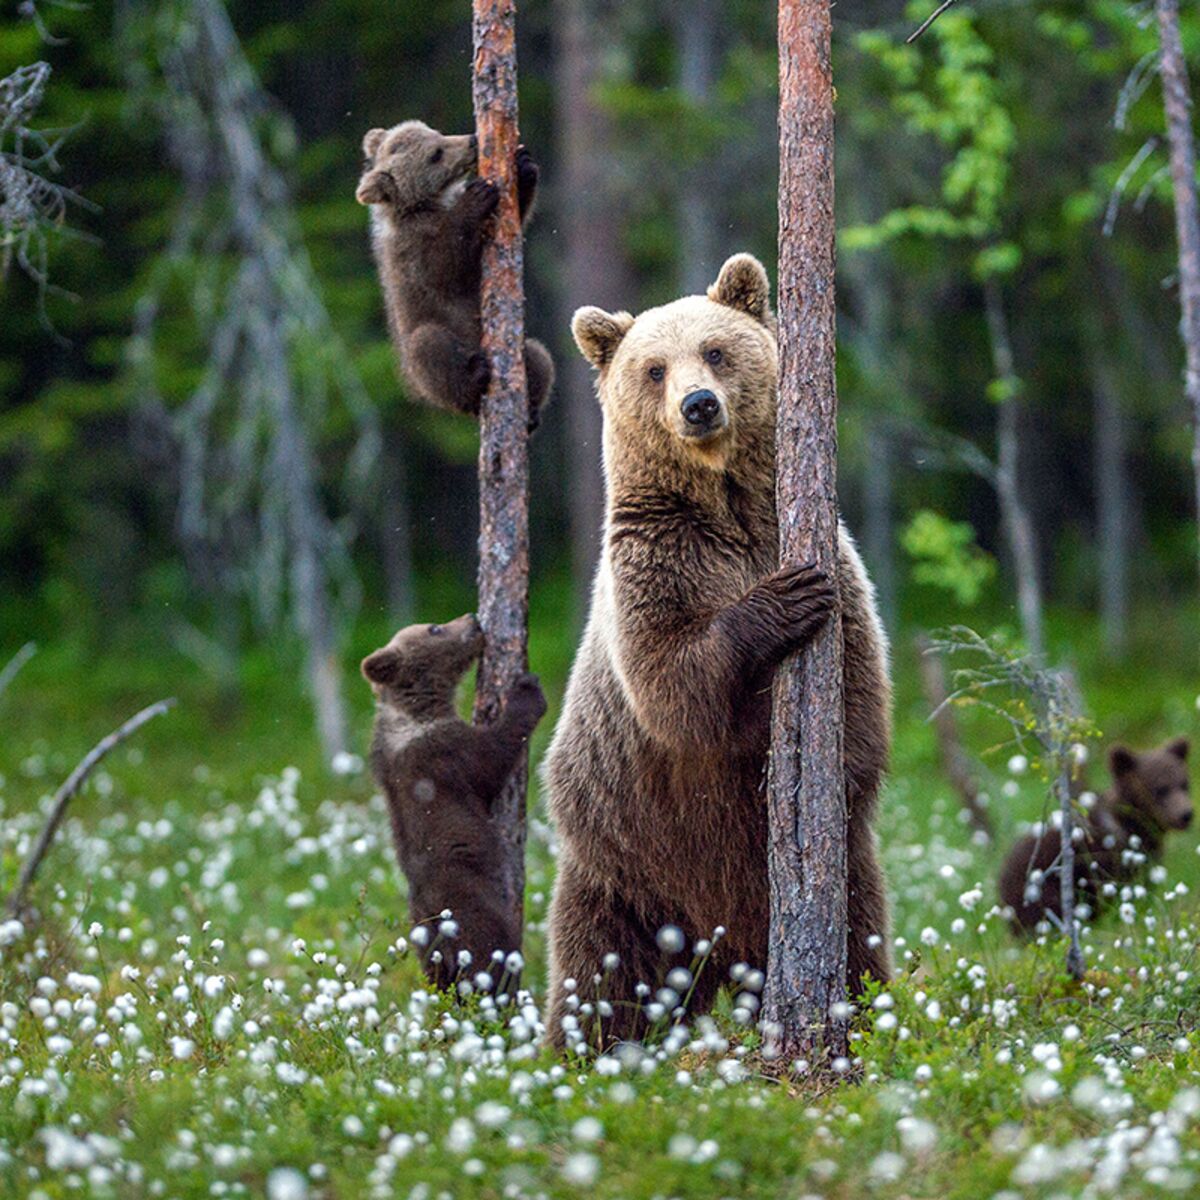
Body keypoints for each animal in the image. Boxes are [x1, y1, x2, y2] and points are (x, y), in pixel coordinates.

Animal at [352, 118, 554, 427]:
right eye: (435, 154)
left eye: (436, 133)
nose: (472, 140)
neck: (429, 204)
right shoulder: (412, 250)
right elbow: (444, 270)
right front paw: (477, 196)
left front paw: (523, 165)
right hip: (423, 359)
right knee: (429, 347)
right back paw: (474, 377)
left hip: (523, 351)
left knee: (539, 355)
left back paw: (531, 411)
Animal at [362, 614, 547, 988]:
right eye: (434, 628)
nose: (473, 619)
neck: (418, 710)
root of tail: (437, 932)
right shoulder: (445, 754)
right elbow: (493, 757)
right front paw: (527, 690)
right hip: (473, 912)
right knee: (492, 957)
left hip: (423, 947)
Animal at [544, 255, 892, 1051]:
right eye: (652, 368)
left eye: (715, 350)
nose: (698, 404)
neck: (725, 503)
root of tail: (719, 947)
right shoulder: (657, 562)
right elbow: (673, 683)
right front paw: (783, 602)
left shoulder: (828, 554)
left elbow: (859, 688)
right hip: (625, 866)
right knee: (600, 977)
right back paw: (578, 1053)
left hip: (840, 880)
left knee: (860, 941)